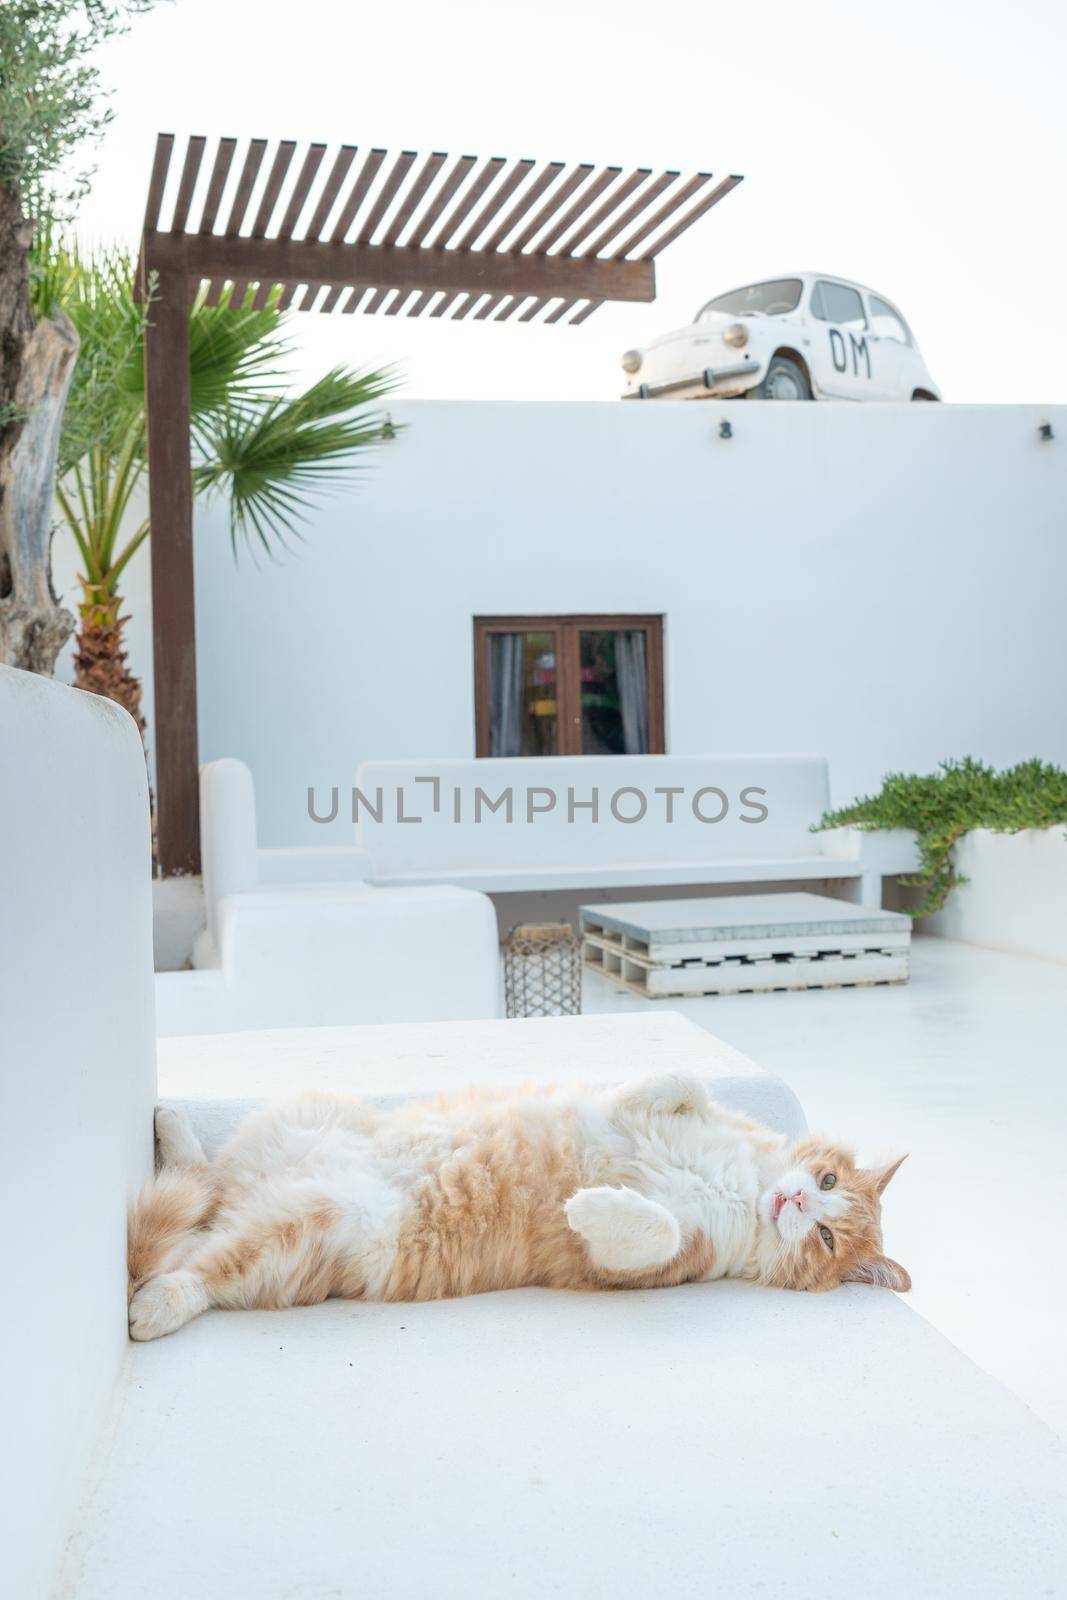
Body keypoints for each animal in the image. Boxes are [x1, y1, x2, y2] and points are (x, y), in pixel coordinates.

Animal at [127, 1068, 908, 1344]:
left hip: (299, 1225)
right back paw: (170, 1125)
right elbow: (679, 1084)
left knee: (192, 1266)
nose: (796, 1197)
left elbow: (650, 1227)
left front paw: (590, 1203)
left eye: (827, 1241)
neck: (739, 1189)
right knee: (200, 1185)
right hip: (306, 1116)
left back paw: (151, 1308)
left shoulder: (642, 1266)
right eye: (829, 1181)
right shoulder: (674, 1110)